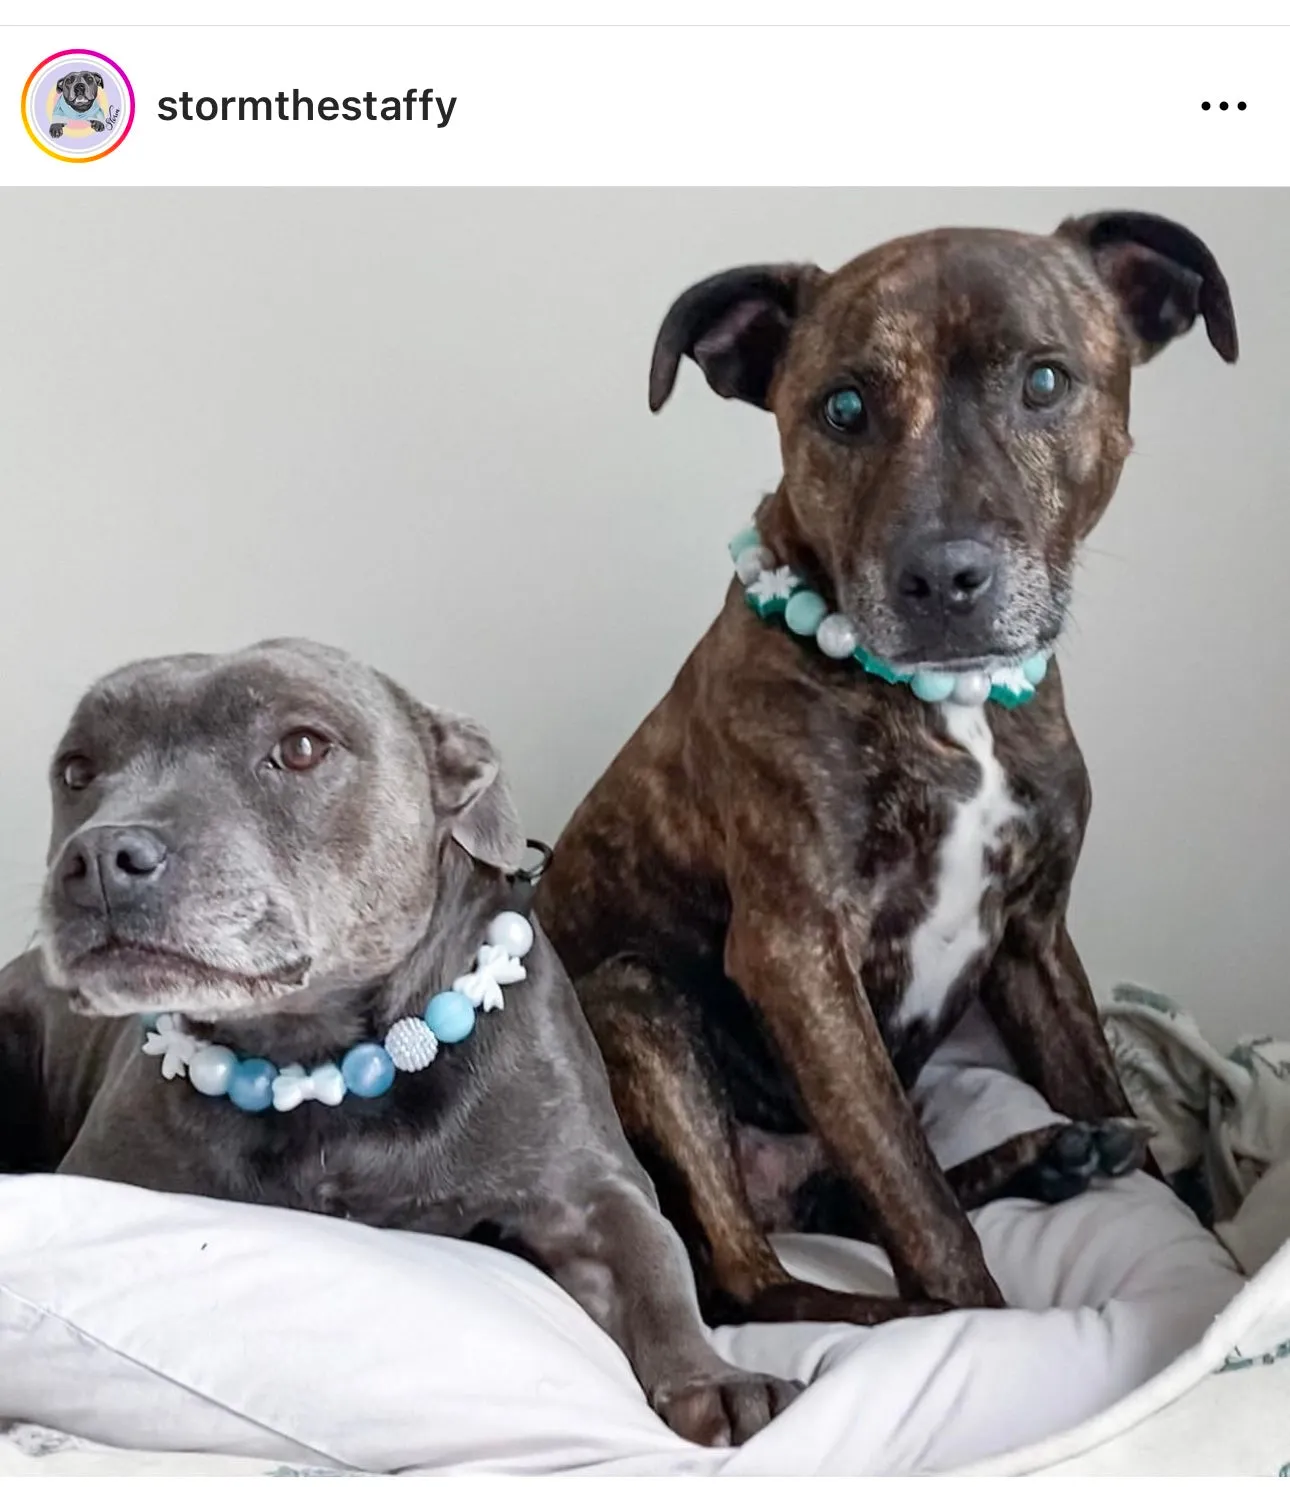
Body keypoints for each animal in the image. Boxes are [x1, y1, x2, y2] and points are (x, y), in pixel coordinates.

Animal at [0, 636, 796, 1439]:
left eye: (301, 747)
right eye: (76, 770)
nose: (100, 857)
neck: (319, 1062)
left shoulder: (590, 1193)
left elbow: (655, 1265)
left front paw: (715, 1378)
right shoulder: (106, 1180)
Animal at [537, 209, 1242, 1326]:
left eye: (1046, 380)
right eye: (844, 406)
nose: (943, 575)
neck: (951, 706)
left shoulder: (1034, 936)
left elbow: (1088, 1080)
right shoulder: (797, 953)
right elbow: (918, 1203)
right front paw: (983, 1319)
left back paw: (1050, 1155)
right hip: (633, 1001)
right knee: (751, 1280)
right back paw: (903, 1311)